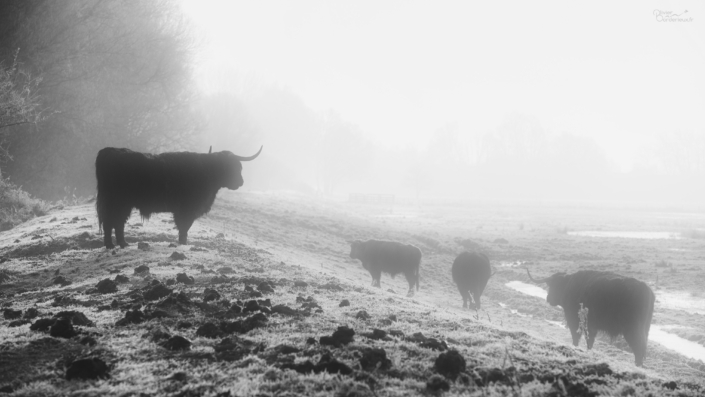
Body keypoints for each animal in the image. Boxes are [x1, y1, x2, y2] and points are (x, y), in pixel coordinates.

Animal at [95, 145, 262, 248]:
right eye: (229, 166)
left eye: (239, 166)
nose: (240, 182)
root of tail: (109, 151)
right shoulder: (187, 209)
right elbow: (184, 227)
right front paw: (183, 243)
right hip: (116, 202)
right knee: (111, 222)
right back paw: (112, 245)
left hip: (120, 204)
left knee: (117, 222)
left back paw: (121, 244)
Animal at [524, 266, 656, 366]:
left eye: (554, 285)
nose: (548, 298)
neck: (568, 286)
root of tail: (647, 290)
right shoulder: (591, 326)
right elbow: (589, 340)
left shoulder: (574, 320)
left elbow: (576, 337)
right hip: (644, 329)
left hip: (632, 330)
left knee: (639, 348)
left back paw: (637, 365)